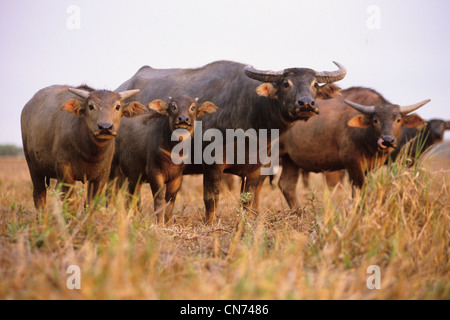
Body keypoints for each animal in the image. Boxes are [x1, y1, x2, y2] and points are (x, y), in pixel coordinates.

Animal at [111, 96, 219, 224]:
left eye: (193, 107)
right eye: (173, 106)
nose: (183, 119)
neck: (174, 152)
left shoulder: (177, 177)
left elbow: (170, 202)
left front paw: (167, 223)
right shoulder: (155, 173)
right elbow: (159, 201)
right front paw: (160, 223)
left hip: (134, 177)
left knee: (132, 197)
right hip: (113, 169)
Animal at [274, 87, 428, 208]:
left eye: (398, 119)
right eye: (375, 120)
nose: (387, 141)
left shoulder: (370, 167)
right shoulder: (352, 163)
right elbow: (359, 189)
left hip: (290, 160)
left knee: (287, 185)